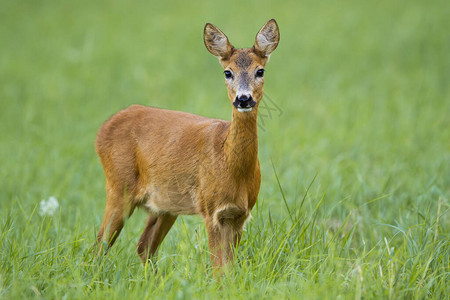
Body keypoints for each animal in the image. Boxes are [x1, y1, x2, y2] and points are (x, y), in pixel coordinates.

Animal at [93, 19, 280, 272]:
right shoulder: (211, 210)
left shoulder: (240, 214)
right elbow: (218, 269)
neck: (229, 163)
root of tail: (103, 129)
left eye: (260, 71)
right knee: (99, 246)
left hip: (165, 204)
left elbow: (229, 269)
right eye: (227, 72)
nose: (243, 99)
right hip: (118, 186)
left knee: (144, 246)